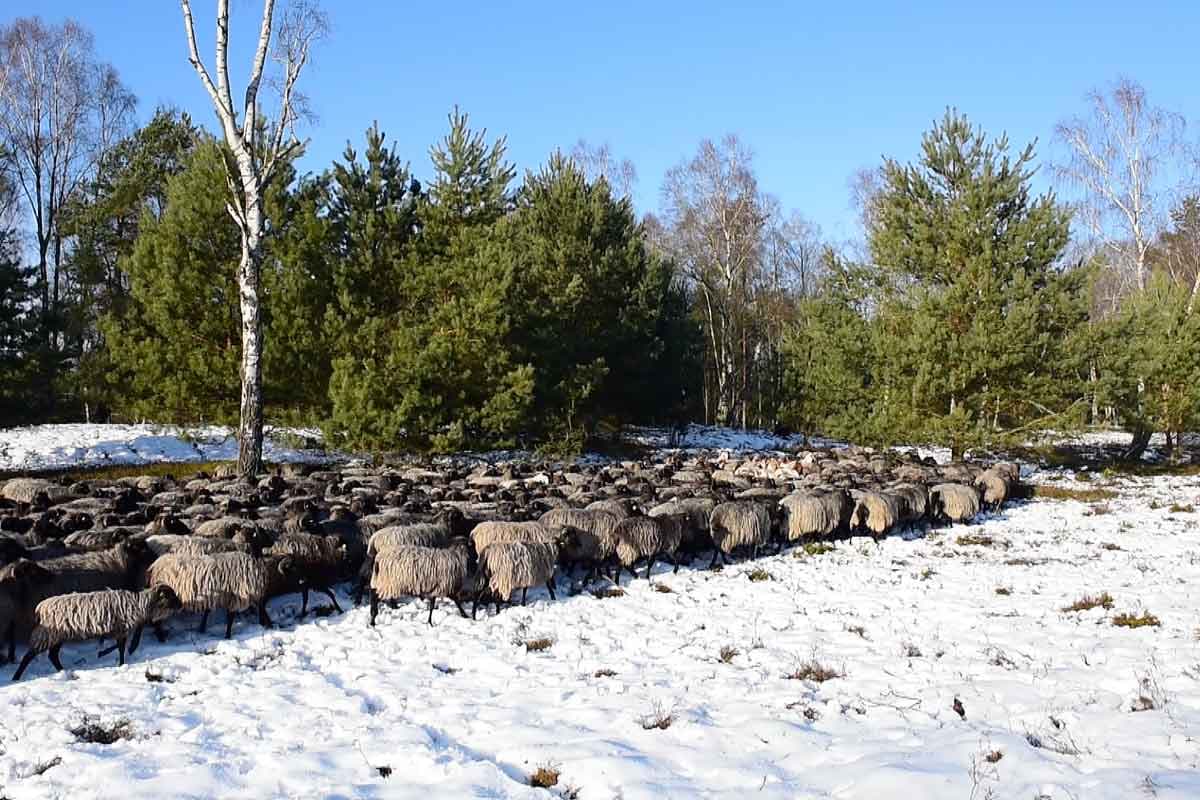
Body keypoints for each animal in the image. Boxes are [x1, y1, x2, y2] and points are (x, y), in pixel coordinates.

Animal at [11, 582, 182, 681]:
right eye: (169, 595)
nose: (181, 605)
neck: (140, 605)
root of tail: (40, 608)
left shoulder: (118, 629)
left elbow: (120, 646)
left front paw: (106, 654)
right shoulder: (121, 628)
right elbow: (121, 648)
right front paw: (121, 664)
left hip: (58, 637)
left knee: (52, 655)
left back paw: (63, 671)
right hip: (47, 635)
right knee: (29, 656)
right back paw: (16, 677)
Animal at [145, 551, 295, 638]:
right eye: (294, 567)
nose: (300, 582)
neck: (262, 572)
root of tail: (154, 565)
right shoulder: (237, 597)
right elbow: (231, 618)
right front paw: (227, 636)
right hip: (164, 600)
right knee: (156, 620)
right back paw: (161, 638)